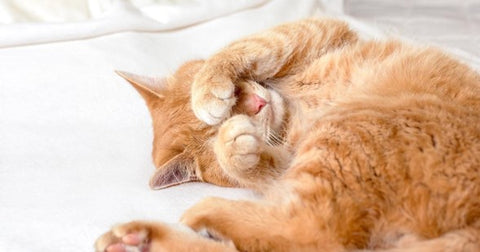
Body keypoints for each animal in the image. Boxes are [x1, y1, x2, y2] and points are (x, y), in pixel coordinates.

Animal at [94, 18, 480, 251]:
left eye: (237, 96)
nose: (258, 103)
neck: (292, 106)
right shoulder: (289, 165)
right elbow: (261, 168)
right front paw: (232, 150)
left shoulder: (320, 30)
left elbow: (248, 46)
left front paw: (209, 90)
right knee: (309, 234)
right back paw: (140, 238)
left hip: (351, 129)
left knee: (312, 234)